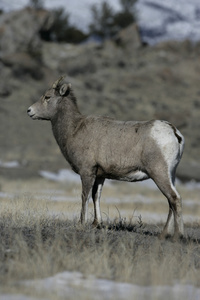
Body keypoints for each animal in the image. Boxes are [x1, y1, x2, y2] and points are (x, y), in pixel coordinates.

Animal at [27, 77, 184, 239]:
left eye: (47, 97)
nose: (29, 111)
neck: (74, 129)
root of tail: (174, 133)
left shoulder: (87, 172)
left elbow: (85, 196)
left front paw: (81, 224)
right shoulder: (100, 176)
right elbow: (96, 196)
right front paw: (96, 224)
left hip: (159, 174)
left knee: (174, 199)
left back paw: (177, 236)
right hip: (170, 175)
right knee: (171, 201)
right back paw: (164, 234)